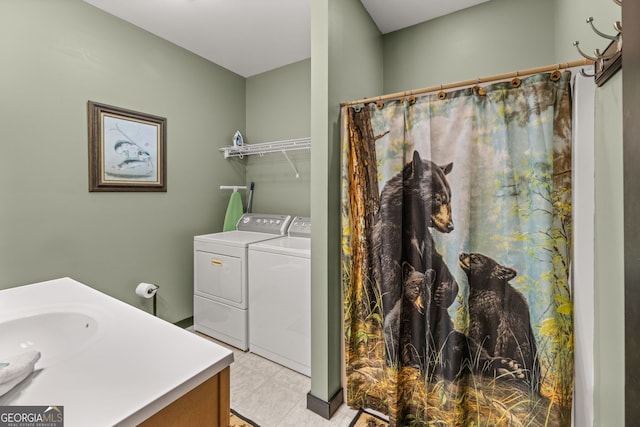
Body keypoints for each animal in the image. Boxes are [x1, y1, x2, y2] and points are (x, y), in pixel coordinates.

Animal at [458, 251, 544, 394]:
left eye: (475, 258)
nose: (462, 253)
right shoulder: (477, 315)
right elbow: (476, 335)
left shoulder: (506, 318)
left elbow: (502, 340)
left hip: (524, 347)